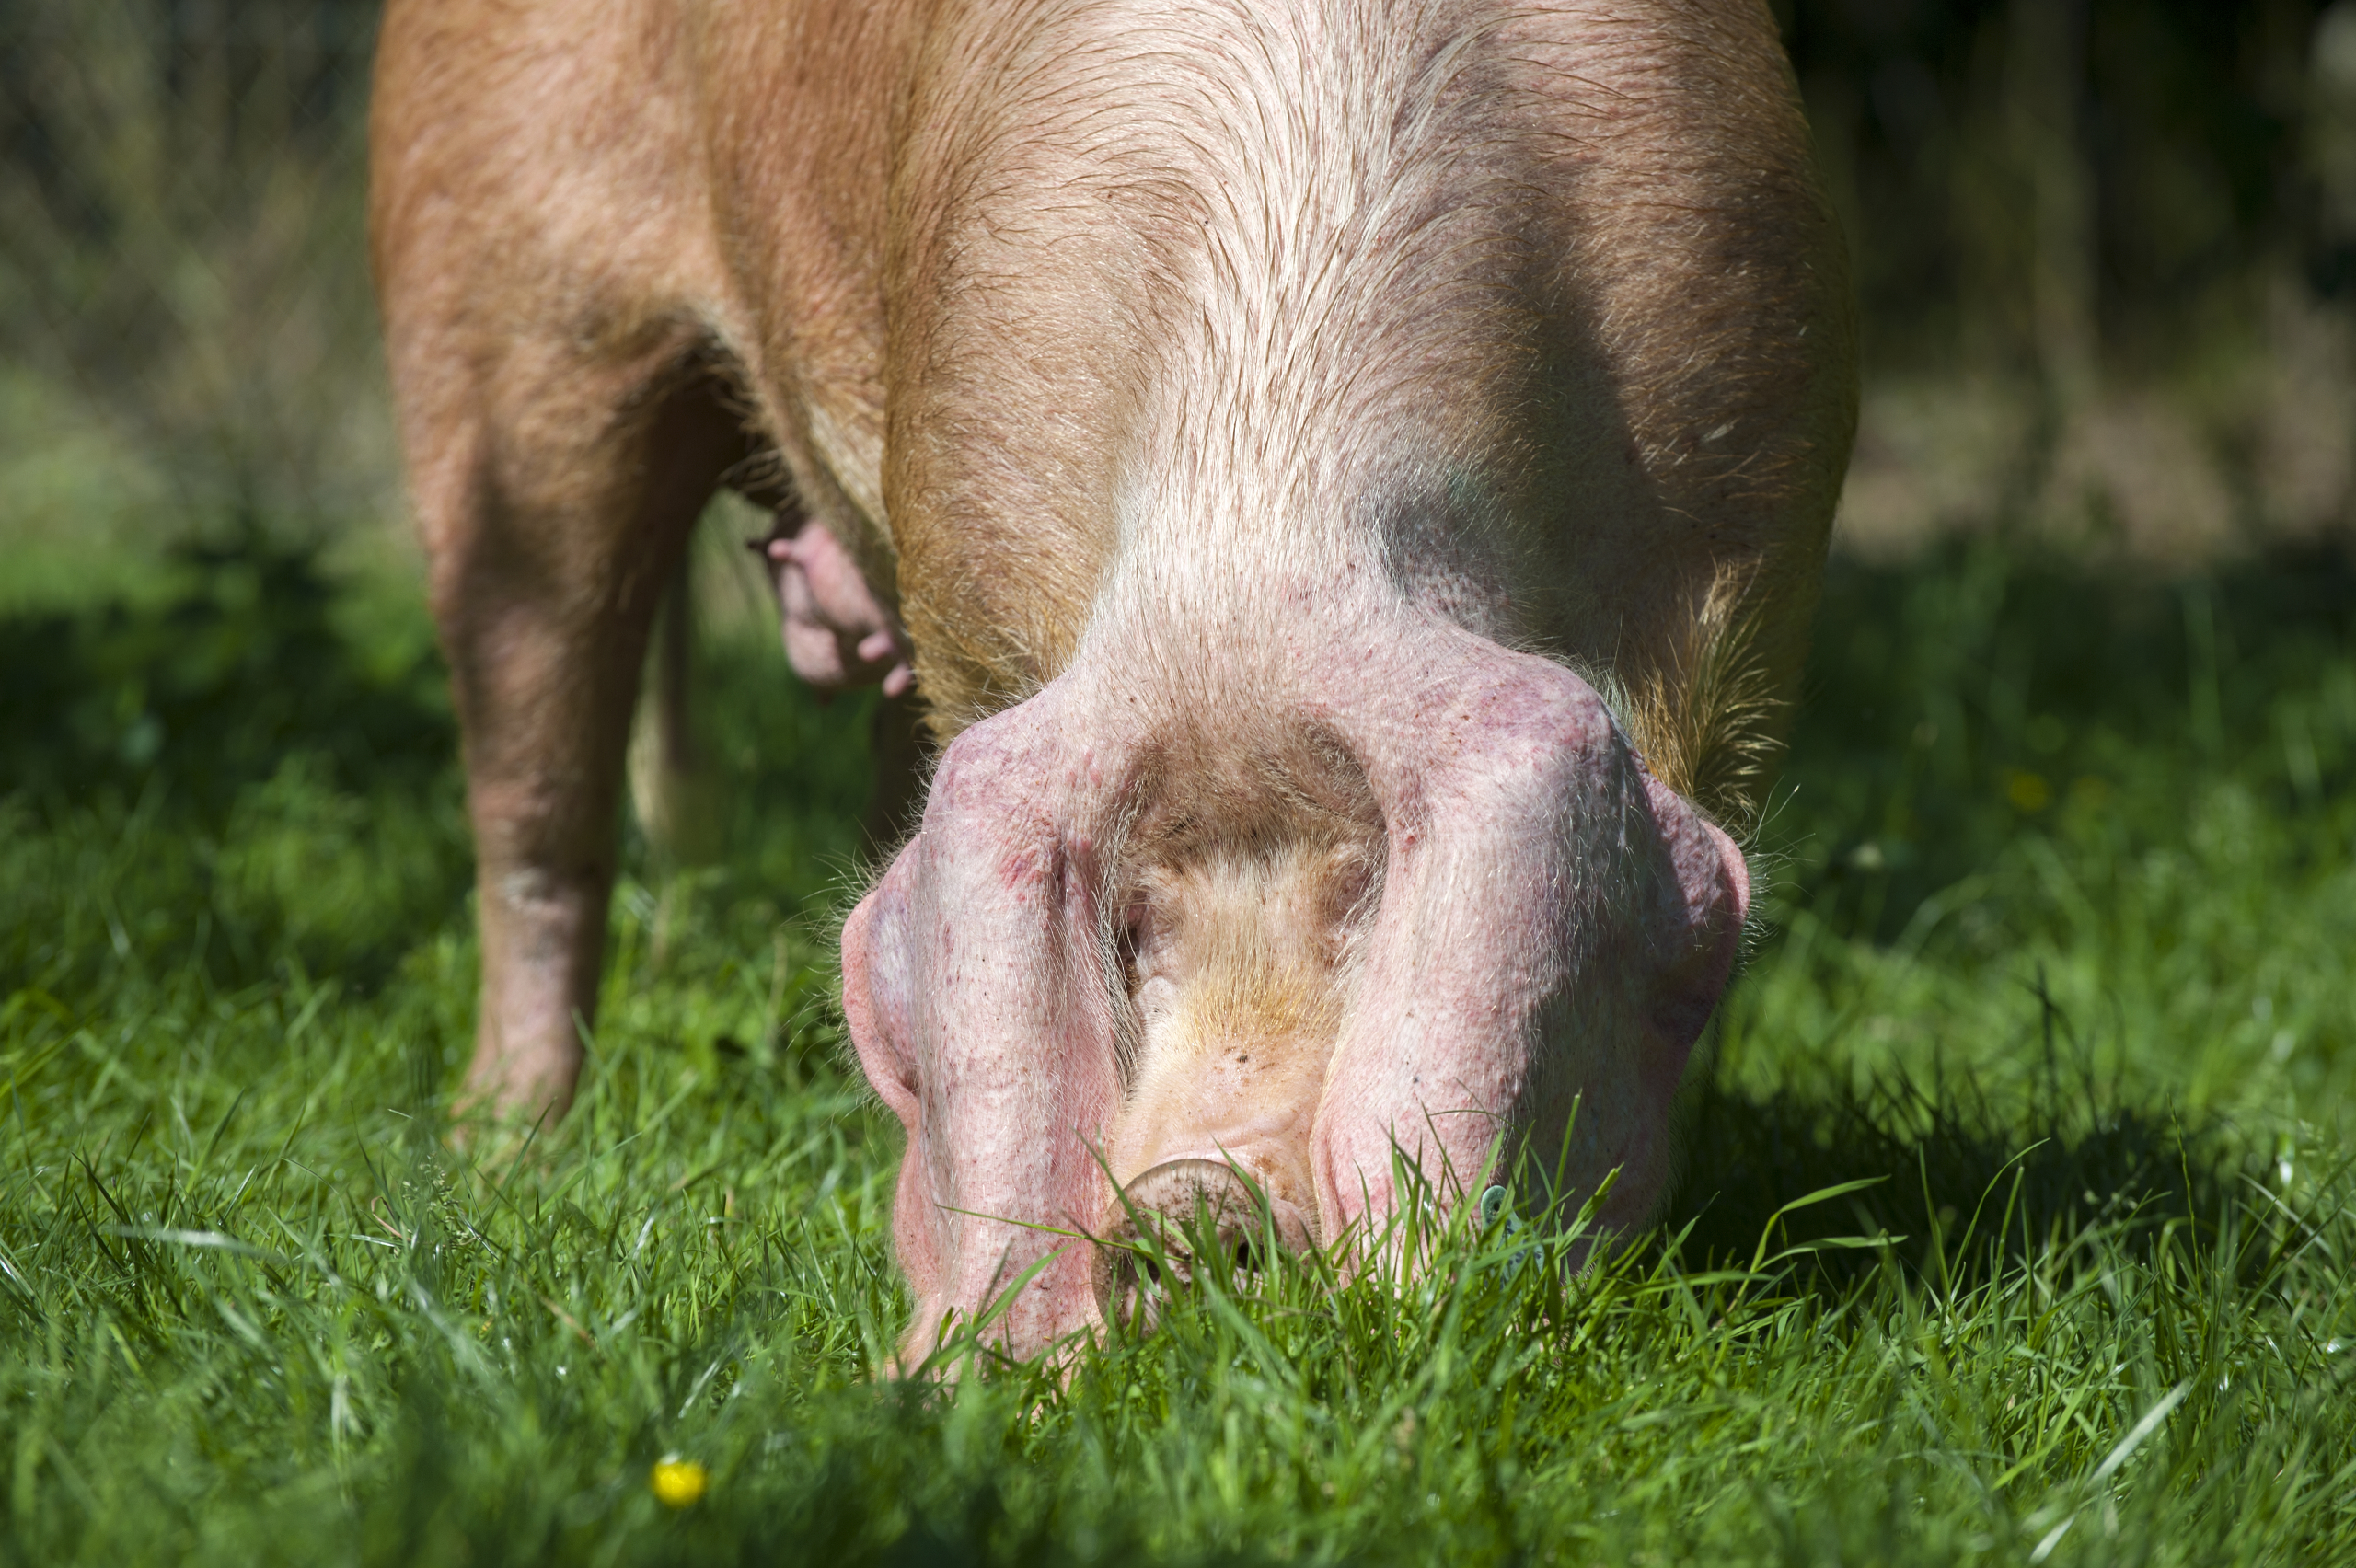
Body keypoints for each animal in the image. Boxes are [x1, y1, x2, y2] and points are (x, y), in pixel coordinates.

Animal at [367, 0, 1847, 1355]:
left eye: (1363, 903)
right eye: (1135, 929)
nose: (1200, 1199)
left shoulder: (1752, 555)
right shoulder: (973, 574)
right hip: (488, 333)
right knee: (536, 805)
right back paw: (500, 1148)